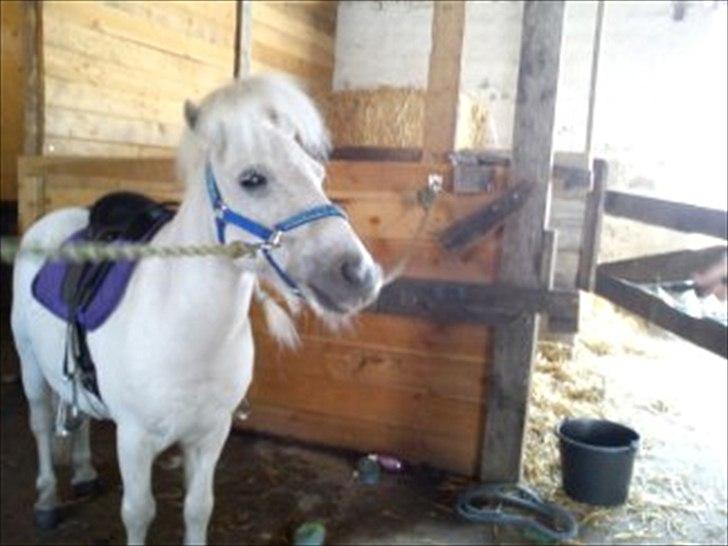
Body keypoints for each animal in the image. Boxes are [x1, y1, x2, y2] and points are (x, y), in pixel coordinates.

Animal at [11, 74, 383, 545]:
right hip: (30, 366)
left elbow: (198, 508)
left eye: (318, 174)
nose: (360, 274)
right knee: (41, 424)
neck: (183, 327)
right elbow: (138, 513)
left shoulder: (209, 435)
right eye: (252, 179)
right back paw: (46, 499)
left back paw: (83, 473)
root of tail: (46, 226)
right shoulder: (134, 440)